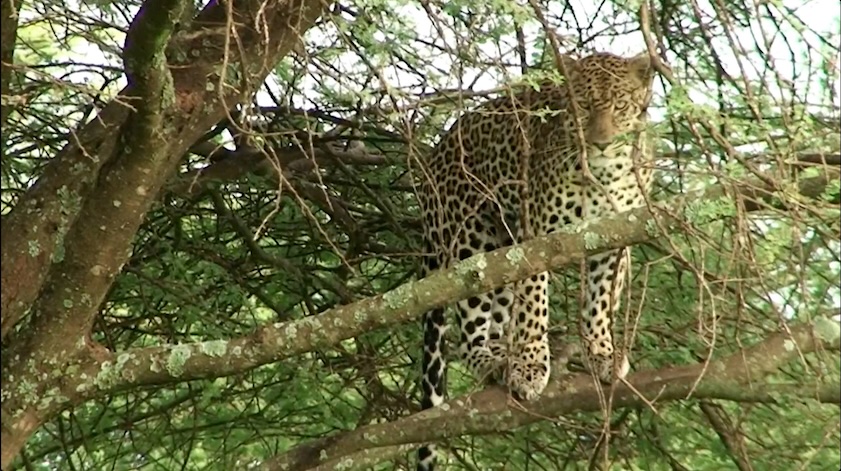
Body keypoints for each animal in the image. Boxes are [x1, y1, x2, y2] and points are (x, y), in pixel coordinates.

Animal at [414, 51, 657, 471]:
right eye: (583, 106)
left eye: (620, 105)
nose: (601, 144)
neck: (605, 174)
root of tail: (437, 150)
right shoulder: (537, 241)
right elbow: (533, 310)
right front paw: (530, 367)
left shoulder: (614, 239)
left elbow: (599, 305)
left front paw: (603, 354)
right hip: (469, 241)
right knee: (470, 328)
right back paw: (493, 360)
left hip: (501, 249)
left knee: (499, 313)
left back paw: (502, 355)